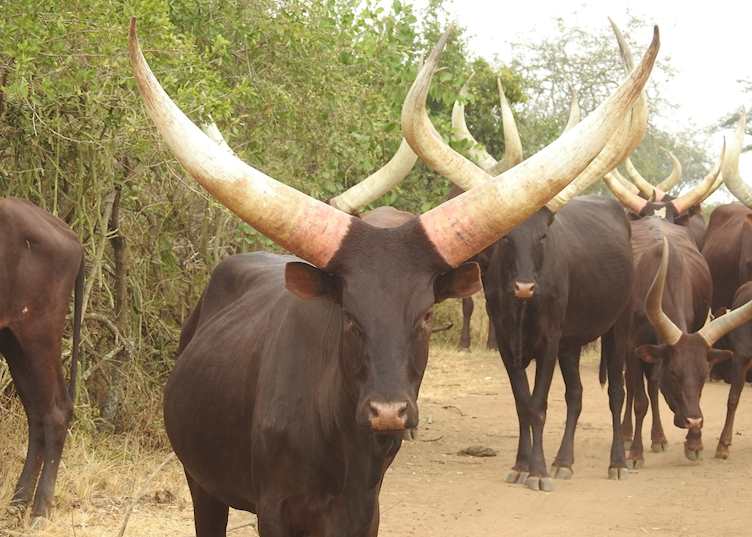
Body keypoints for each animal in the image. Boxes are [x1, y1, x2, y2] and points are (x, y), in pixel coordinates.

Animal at [0, 198, 84, 520]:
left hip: (38, 335)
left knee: (57, 409)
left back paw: (39, 509)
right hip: (13, 339)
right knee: (37, 413)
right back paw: (18, 502)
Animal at [130, 16, 658, 535]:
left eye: (424, 316)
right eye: (349, 316)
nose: (388, 412)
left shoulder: (365, 507)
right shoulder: (273, 509)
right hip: (202, 483)